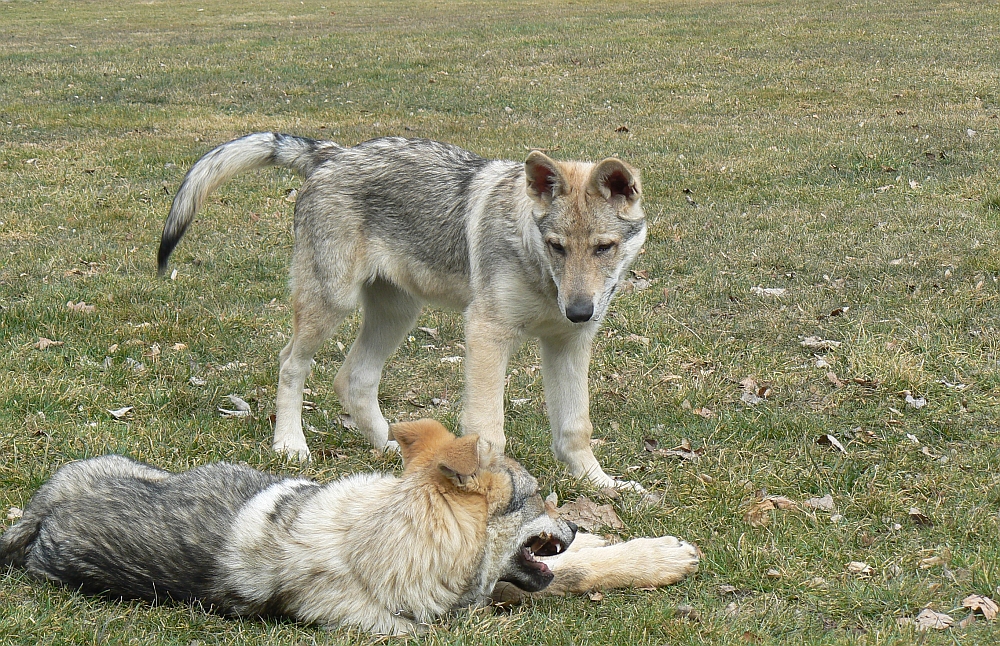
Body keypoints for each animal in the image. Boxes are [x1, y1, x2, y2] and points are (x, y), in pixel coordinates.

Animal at [153, 137, 644, 492]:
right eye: (556, 246)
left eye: (603, 248)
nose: (579, 310)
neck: (541, 273)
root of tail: (331, 153)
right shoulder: (488, 333)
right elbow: (489, 430)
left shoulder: (569, 343)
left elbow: (575, 427)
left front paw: (601, 484)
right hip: (332, 304)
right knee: (291, 363)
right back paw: (290, 445)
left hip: (397, 315)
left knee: (352, 378)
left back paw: (389, 446)